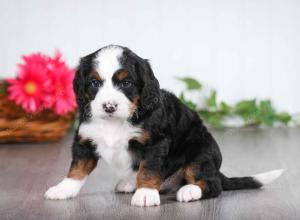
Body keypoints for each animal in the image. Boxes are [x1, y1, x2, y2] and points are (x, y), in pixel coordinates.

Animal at [44, 44, 284, 206]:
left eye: (126, 83)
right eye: (94, 83)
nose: (109, 106)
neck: (115, 122)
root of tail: (217, 169)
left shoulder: (155, 143)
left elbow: (149, 169)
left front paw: (145, 194)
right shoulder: (85, 140)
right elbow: (77, 168)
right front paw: (63, 189)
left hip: (200, 154)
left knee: (212, 184)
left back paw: (189, 191)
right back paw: (130, 183)